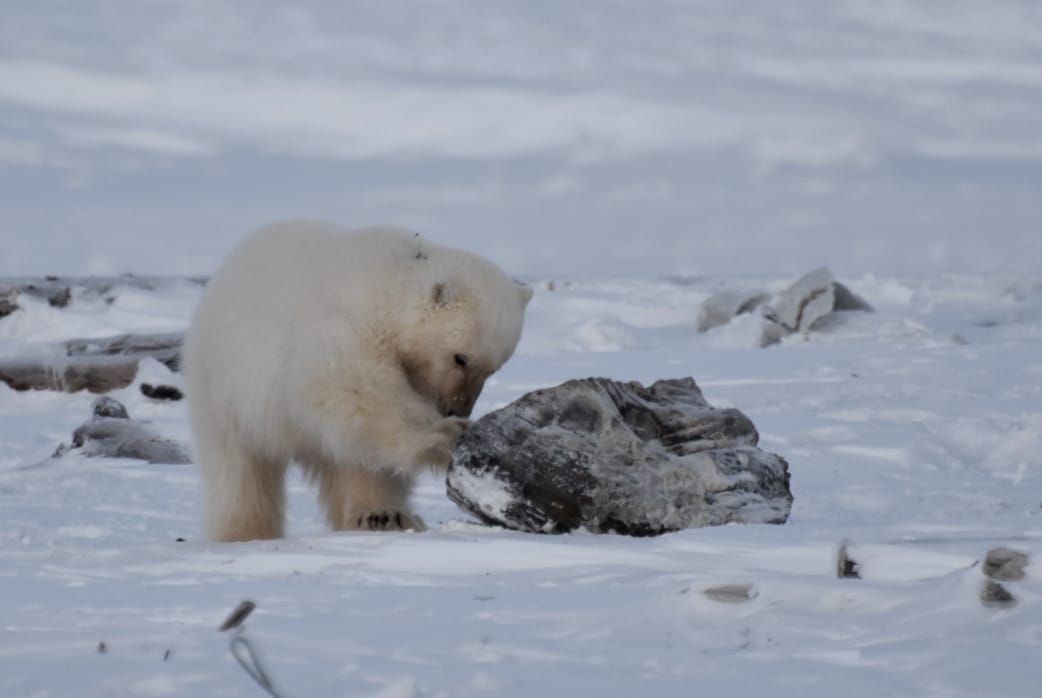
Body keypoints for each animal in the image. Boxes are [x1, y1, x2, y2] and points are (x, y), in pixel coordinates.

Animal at [181, 221, 529, 545]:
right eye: (461, 358)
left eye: (493, 369)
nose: (457, 408)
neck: (391, 285)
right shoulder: (347, 327)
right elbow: (358, 388)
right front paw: (447, 435)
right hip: (221, 383)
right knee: (238, 469)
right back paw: (245, 532)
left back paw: (383, 515)